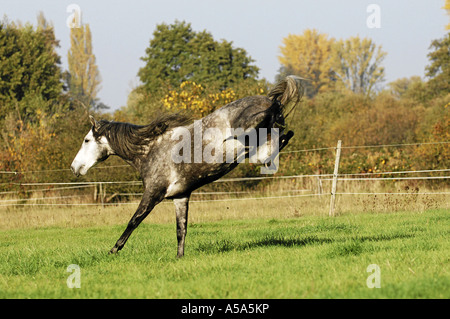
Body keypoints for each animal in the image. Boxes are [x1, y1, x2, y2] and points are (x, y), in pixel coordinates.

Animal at [71, 77, 302, 258]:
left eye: (86, 140)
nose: (75, 167)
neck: (149, 151)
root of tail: (270, 99)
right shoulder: (180, 197)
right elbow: (181, 230)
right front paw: (179, 257)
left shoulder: (153, 193)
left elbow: (133, 221)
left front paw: (113, 250)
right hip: (264, 147)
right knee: (283, 138)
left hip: (256, 130)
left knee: (266, 130)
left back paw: (235, 138)